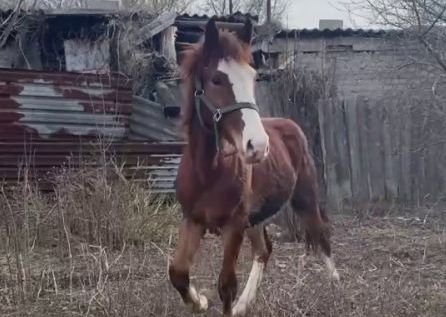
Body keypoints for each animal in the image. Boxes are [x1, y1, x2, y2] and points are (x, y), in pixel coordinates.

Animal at [167, 17, 338, 316]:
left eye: (253, 77)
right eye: (216, 79)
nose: (258, 146)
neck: (208, 172)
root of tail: (289, 124)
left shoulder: (234, 225)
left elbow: (226, 285)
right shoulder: (193, 219)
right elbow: (178, 272)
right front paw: (200, 301)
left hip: (304, 199)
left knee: (320, 235)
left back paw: (335, 287)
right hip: (255, 219)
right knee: (264, 250)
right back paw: (244, 305)